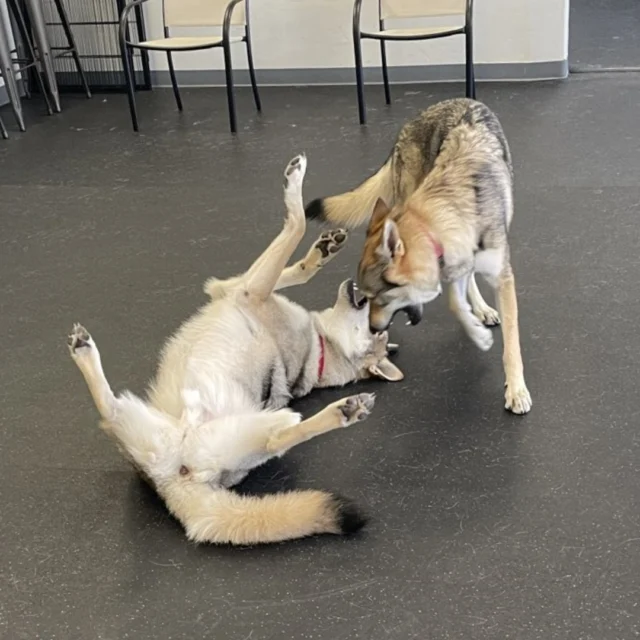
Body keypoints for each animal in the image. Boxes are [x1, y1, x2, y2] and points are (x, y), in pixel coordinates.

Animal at [68, 154, 404, 546]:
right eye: (379, 327)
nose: (370, 295)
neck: (320, 349)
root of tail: (174, 489)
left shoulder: (248, 290)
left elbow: (295, 226)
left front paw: (295, 187)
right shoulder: (232, 288)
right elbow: (294, 269)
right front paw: (320, 253)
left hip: (256, 429)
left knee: (281, 438)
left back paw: (343, 412)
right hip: (170, 426)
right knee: (111, 410)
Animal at [305, 98, 532, 415]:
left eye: (378, 297)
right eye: (364, 298)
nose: (373, 329)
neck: (452, 214)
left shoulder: (502, 278)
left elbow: (511, 344)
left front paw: (516, 391)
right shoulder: (452, 265)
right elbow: (454, 304)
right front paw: (477, 333)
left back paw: (483, 309)